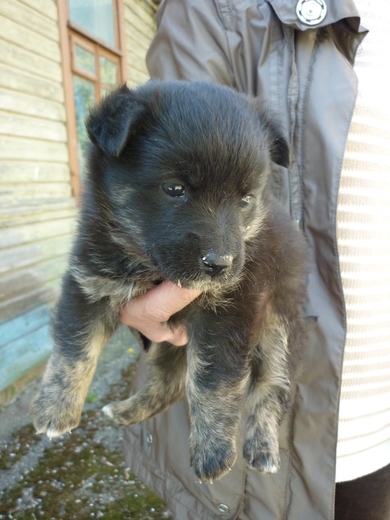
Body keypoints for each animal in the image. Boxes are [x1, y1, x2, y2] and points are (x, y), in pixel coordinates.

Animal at [30, 81, 308, 484]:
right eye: (174, 188)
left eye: (246, 200)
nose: (220, 264)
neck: (150, 267)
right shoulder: (89, 284)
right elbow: (73, 349)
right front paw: (55, 408)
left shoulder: (231, 311)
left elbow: (213, 381)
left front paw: (214, 451)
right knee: (169, 383)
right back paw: (125, 411)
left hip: (278, 327)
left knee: (271, 388)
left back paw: (262, 448)